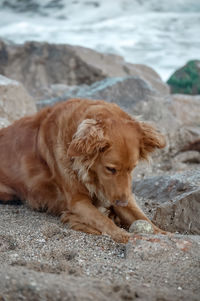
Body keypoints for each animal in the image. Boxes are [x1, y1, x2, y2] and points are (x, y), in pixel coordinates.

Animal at [0, 97, 166, 243]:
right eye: (110, 169)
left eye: (132, 168)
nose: (122, 202)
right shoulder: (77, 201)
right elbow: (102, 221)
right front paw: (124, 235)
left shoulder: (122, 194)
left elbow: (142, 217)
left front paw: (164, 234)